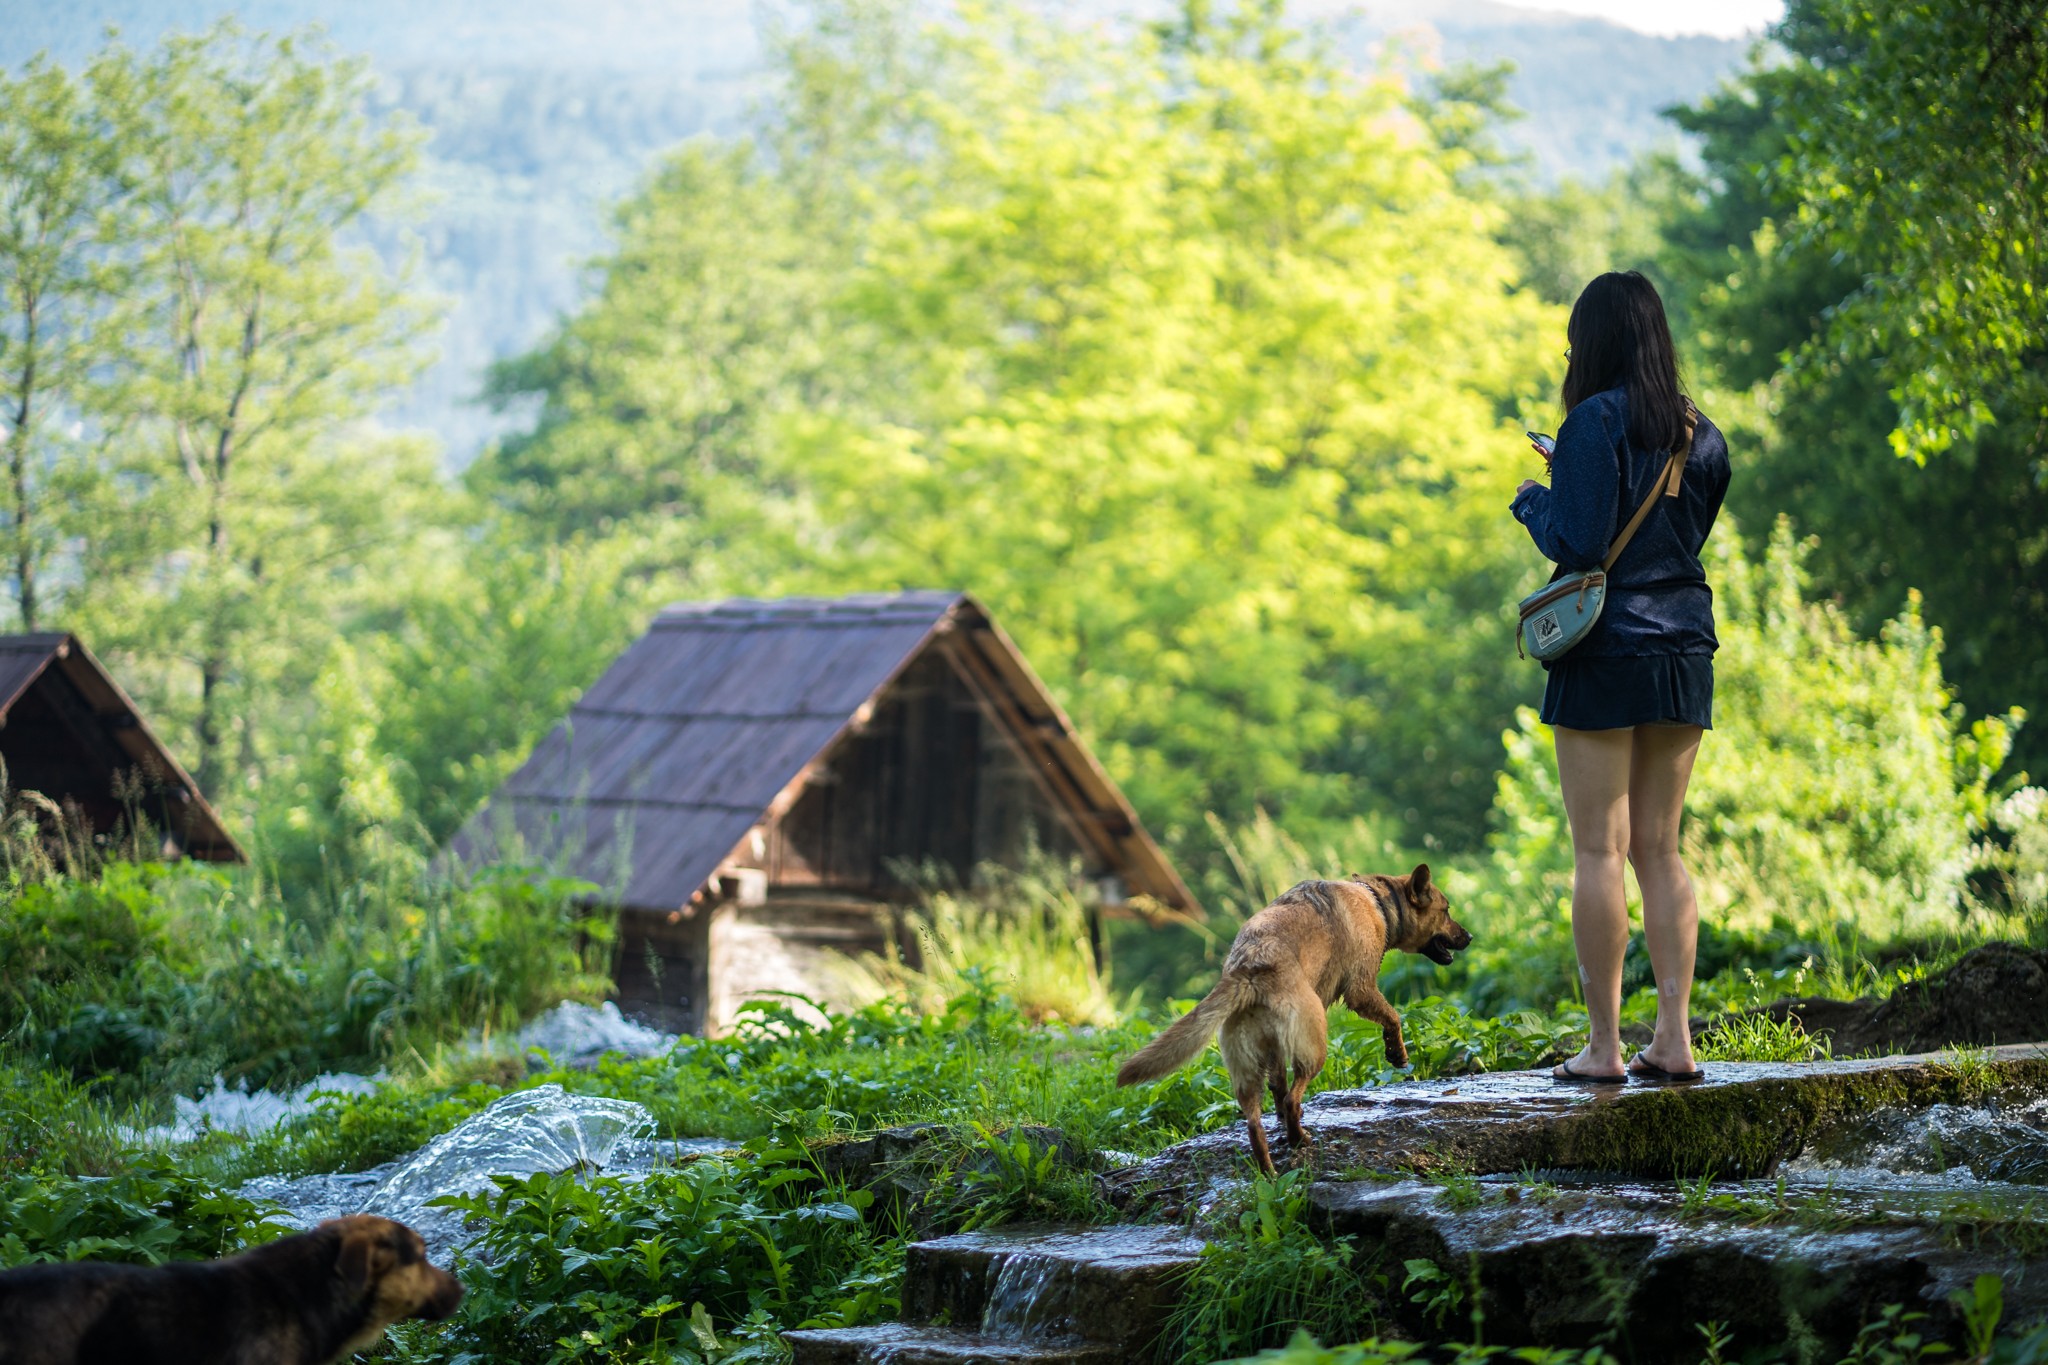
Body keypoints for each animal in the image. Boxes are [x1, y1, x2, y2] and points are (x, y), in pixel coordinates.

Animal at [1122, 863, 1474, 1178]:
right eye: (1446, 910)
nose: (1470, 936)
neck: (1376, 900)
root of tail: (1250, 969)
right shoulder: (1361, 989)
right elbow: (1393, 1018)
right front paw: (1397, 1053)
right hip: (1314, 1048)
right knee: (1292, 1097)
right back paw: (1298, 1139)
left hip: (1250, 1066)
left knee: (1258, 1118)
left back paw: (1269, 1172)